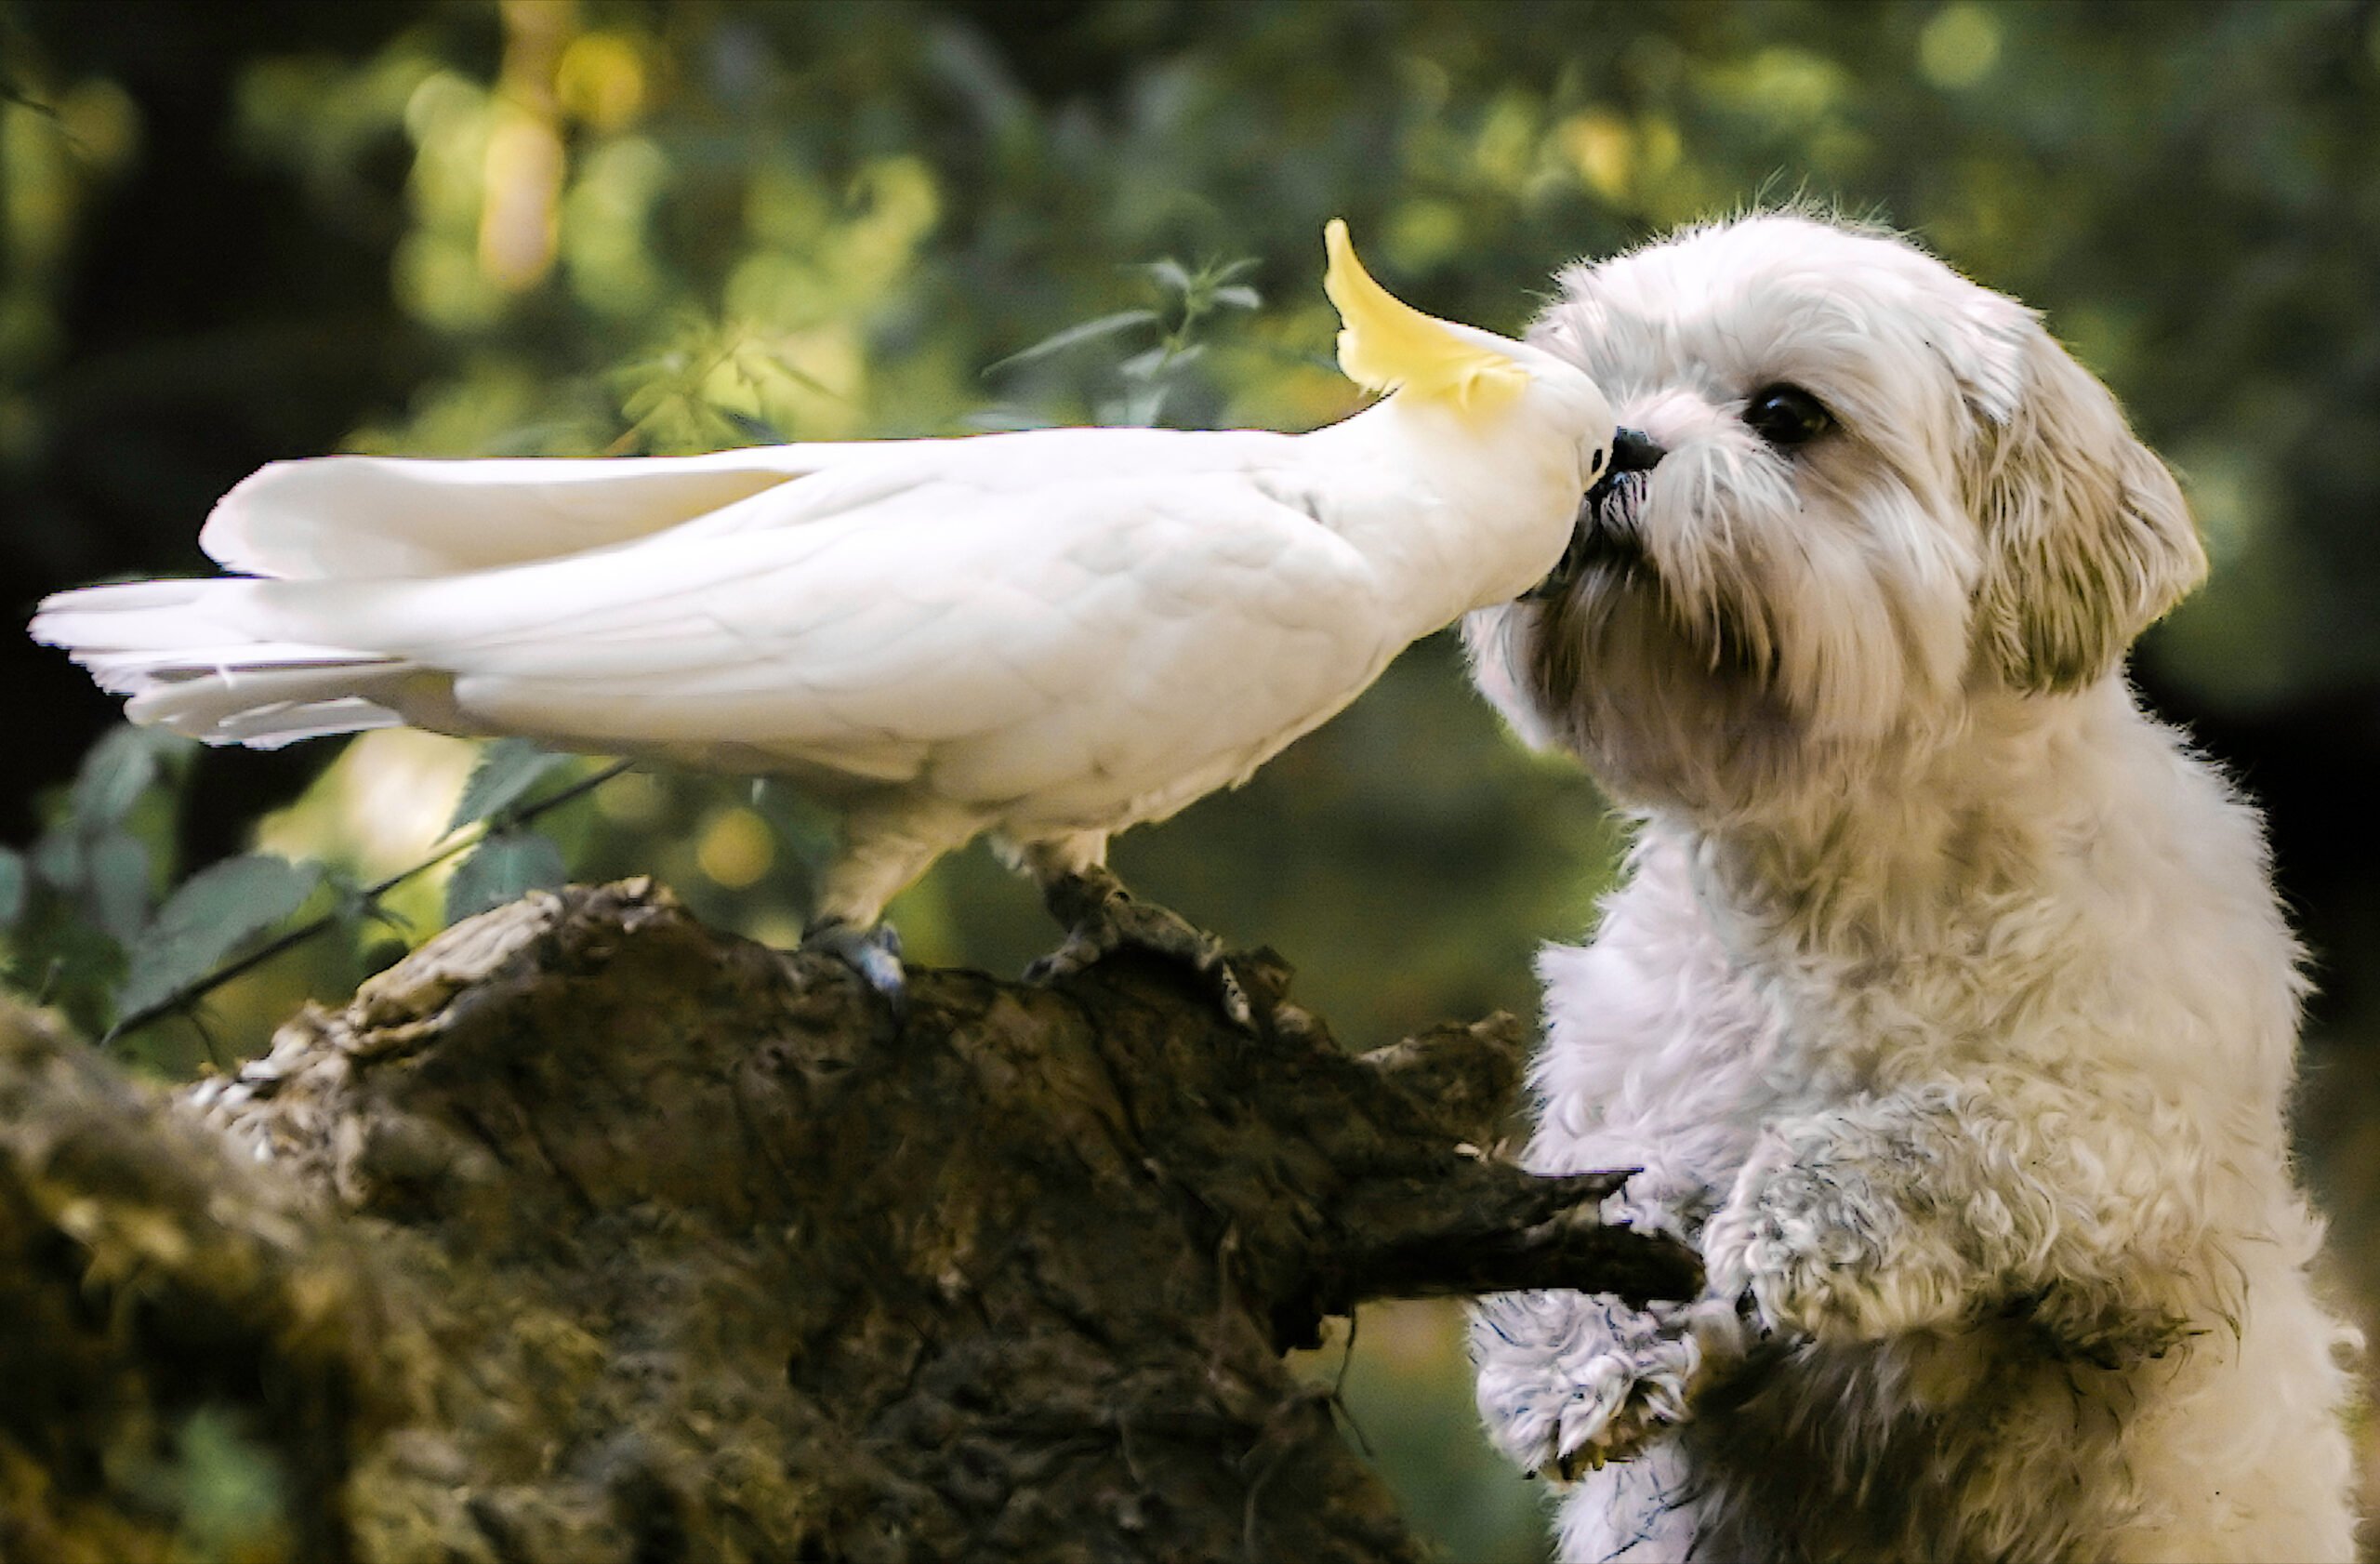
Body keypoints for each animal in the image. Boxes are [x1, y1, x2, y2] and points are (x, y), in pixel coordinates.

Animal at [1465, 210, 2360, 1561]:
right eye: (1591, 395)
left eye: (1786, 414)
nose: (1608, 448)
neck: (1837, 872)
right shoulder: (1634, 1076)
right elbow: (1603, 1184)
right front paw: (1575, 1352)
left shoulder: (2154, 1152)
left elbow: (1972, 1120)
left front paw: (1811, 1207)